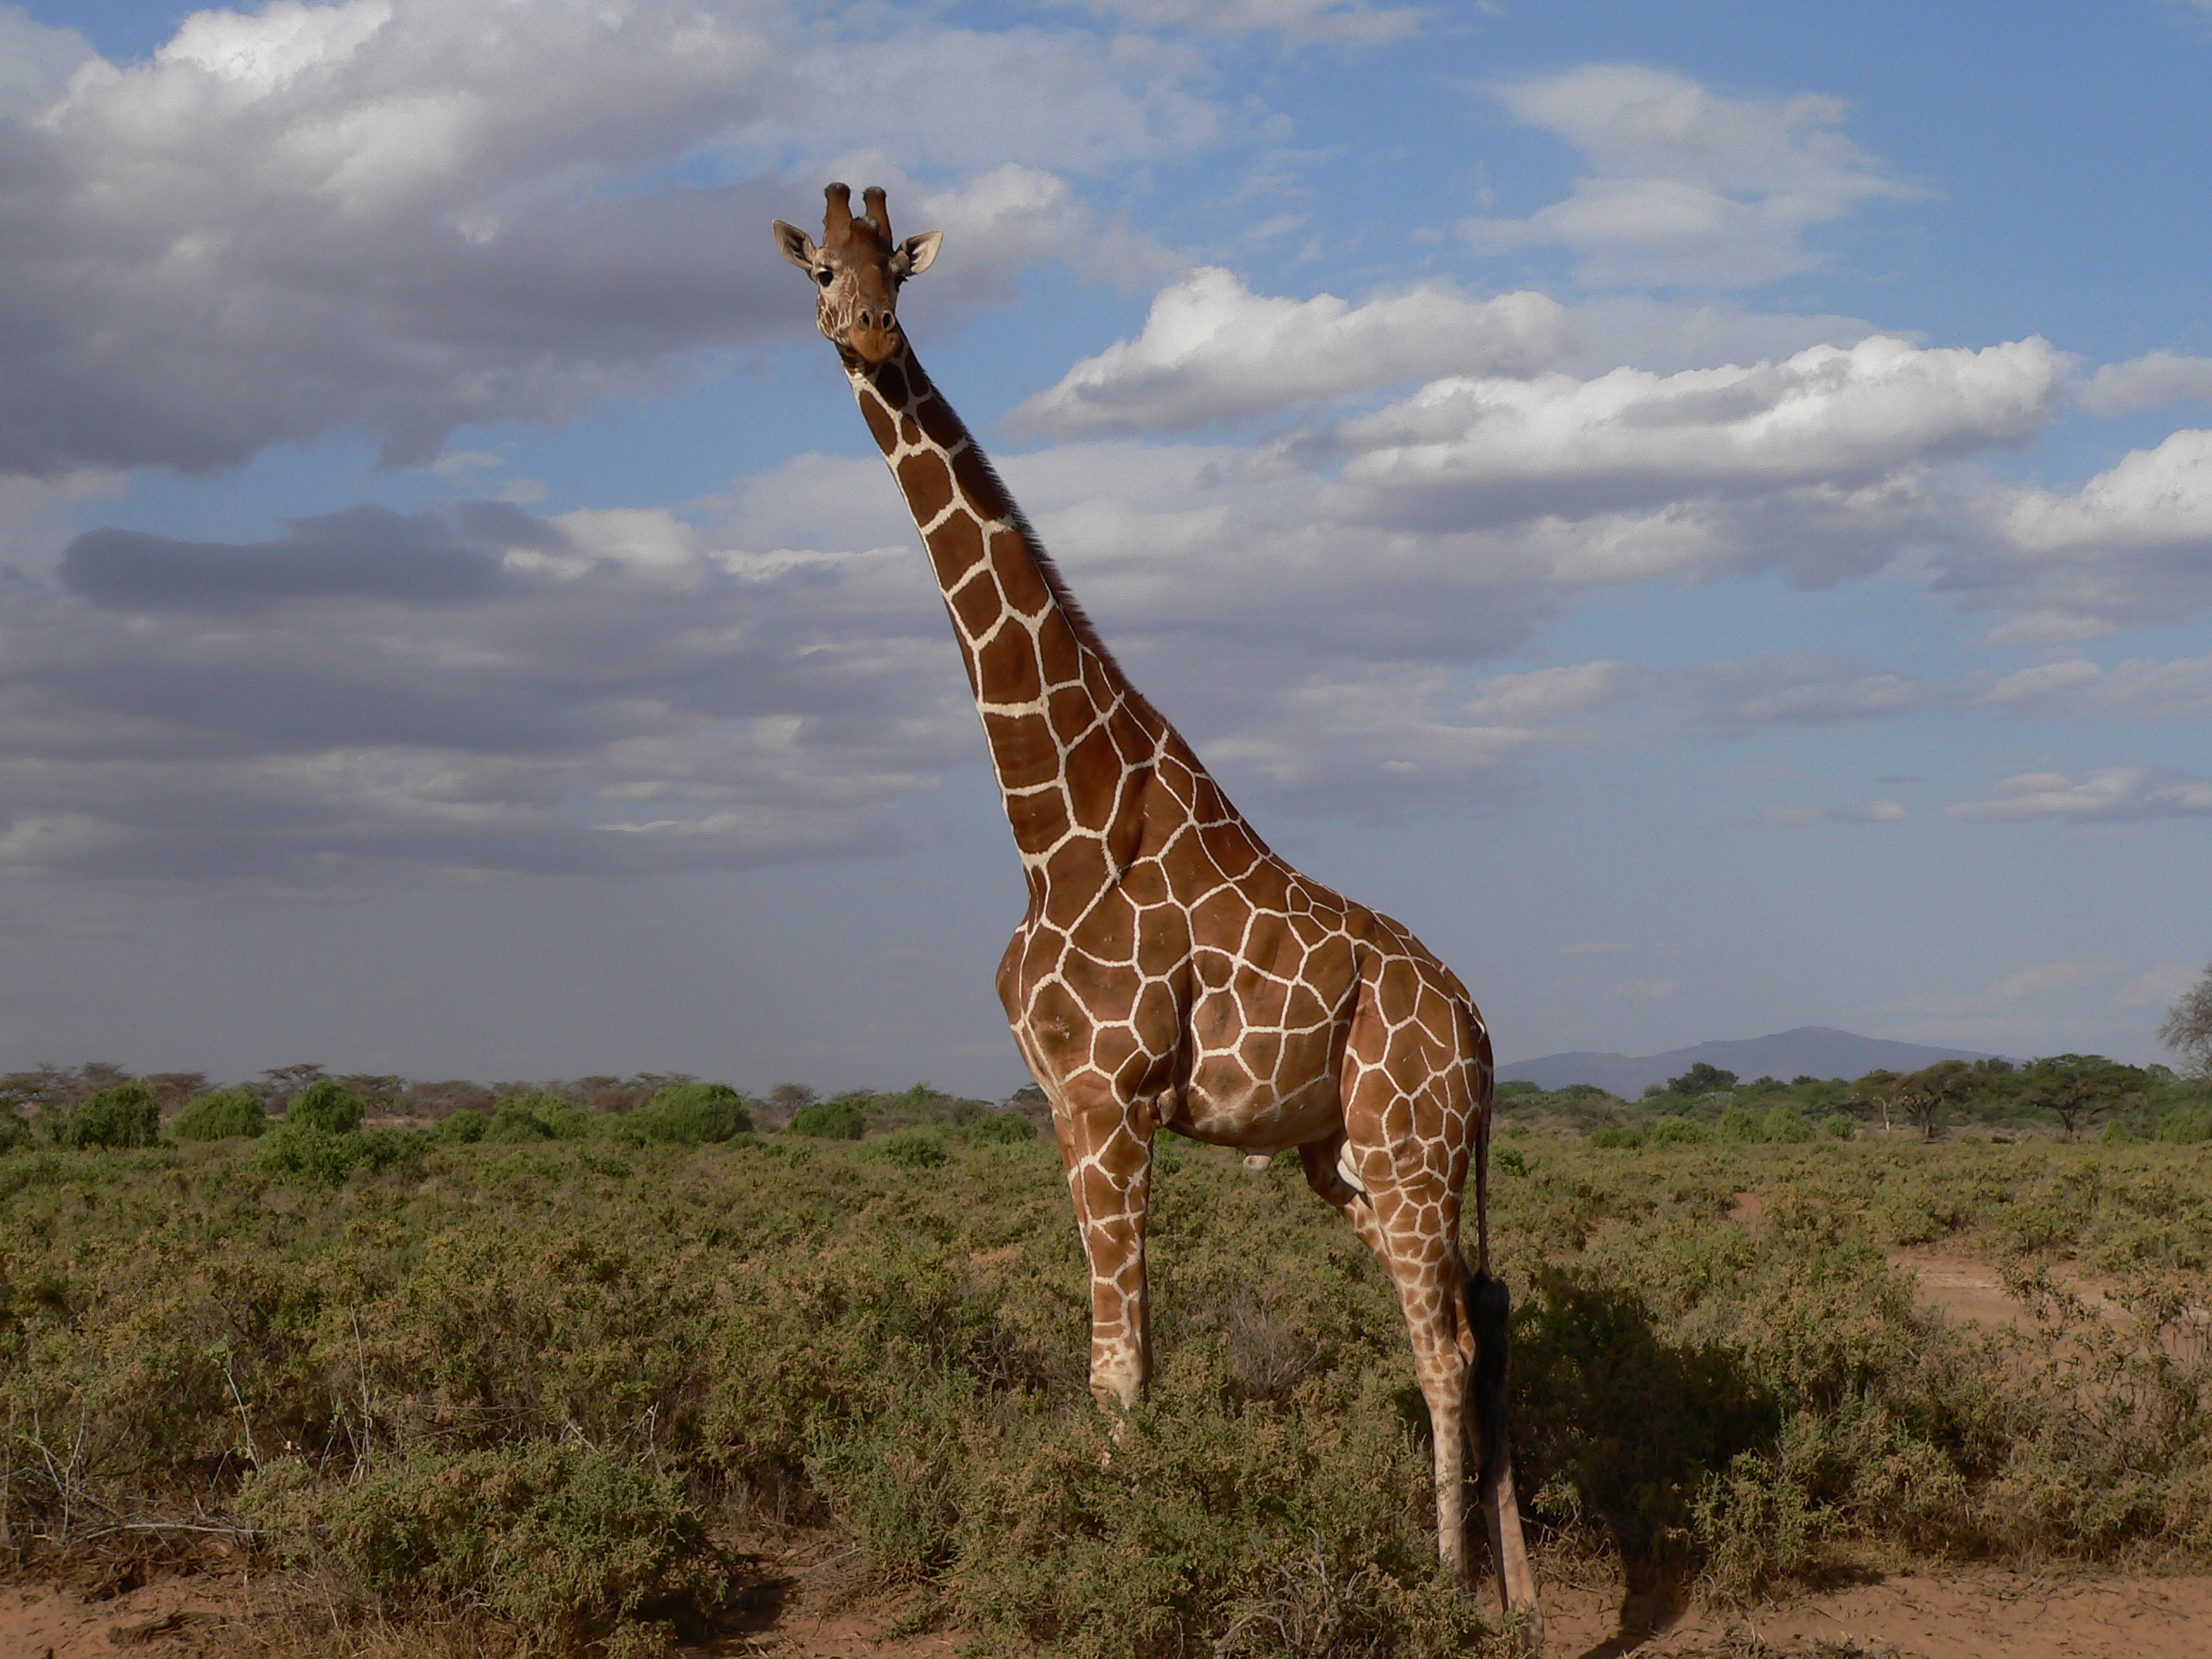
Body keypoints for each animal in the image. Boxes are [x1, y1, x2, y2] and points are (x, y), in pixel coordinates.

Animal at [773, 184, 1542, 1634]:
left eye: (895, 266)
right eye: (820, 273)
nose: (869, 333)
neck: (1049, 821)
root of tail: (1483, 1033)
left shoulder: (1110, 1095)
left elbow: (1122, 1373)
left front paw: (1132, 1576)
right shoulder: (1067, 1102)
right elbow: (1125, 1366)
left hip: (1409, 1148)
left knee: (1445, 1340)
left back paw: (1445, 1576)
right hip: (1341, 1156)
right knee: (1479, 1322)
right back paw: (1503, 1584)